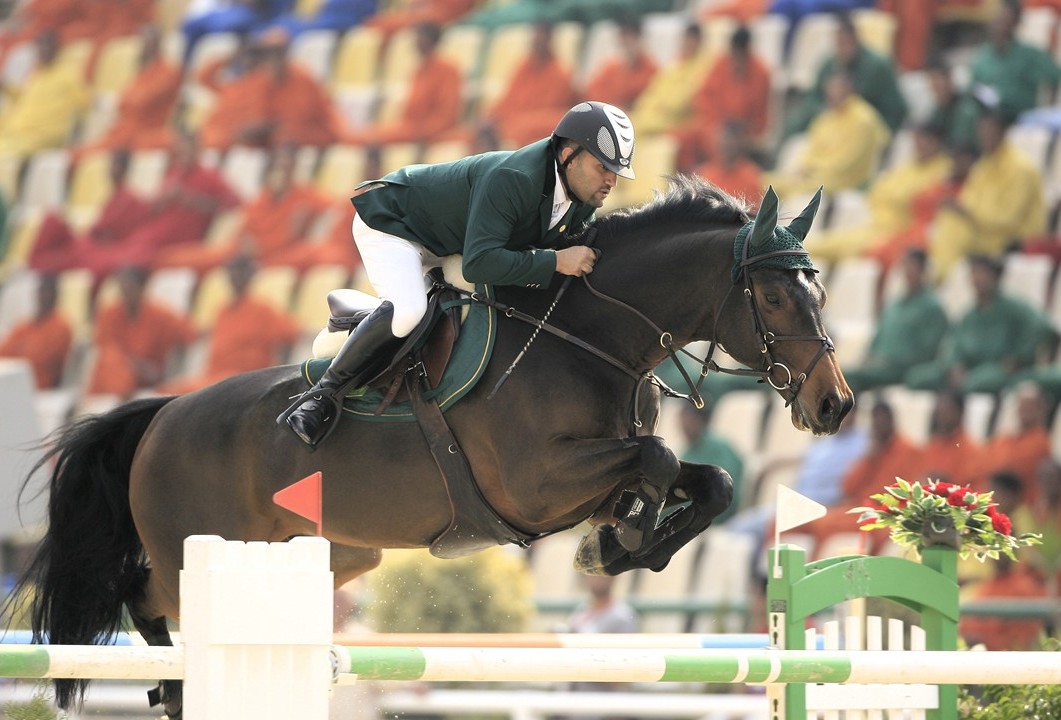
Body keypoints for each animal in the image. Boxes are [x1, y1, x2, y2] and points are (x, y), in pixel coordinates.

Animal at [10, 176, 852, 717]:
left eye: (820, 291)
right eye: (773, 295)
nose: (834, 405)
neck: (588, 339)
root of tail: (165, 414)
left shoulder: (586, 473)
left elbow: (706, 482)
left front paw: (617, 547)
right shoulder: (536, 483)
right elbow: (659, 462)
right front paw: (619, 540)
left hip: (321, 552)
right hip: (202, 545)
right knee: (143, 595)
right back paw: (173, 683)